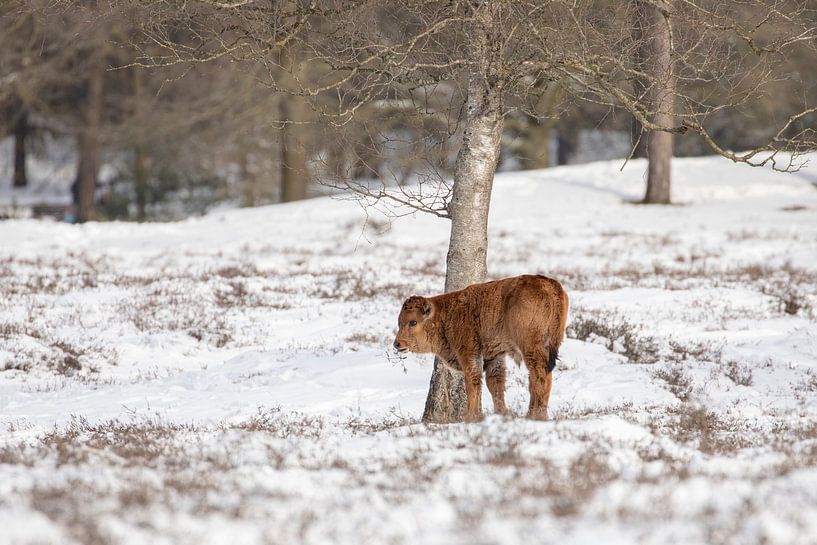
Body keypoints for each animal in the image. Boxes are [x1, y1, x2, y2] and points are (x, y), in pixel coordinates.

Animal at [394, 276, 568, 420]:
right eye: (399, 322)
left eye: (413, 322)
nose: (397, 343)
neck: (445, 315)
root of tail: (551, 286)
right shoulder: (495, 357)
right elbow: (495, 385)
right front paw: (501, 413)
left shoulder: (469, 354)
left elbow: (473, 384)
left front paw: (470, 418)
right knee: (540, 377)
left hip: (530, 347)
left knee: (539, 376)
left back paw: (534, 415)